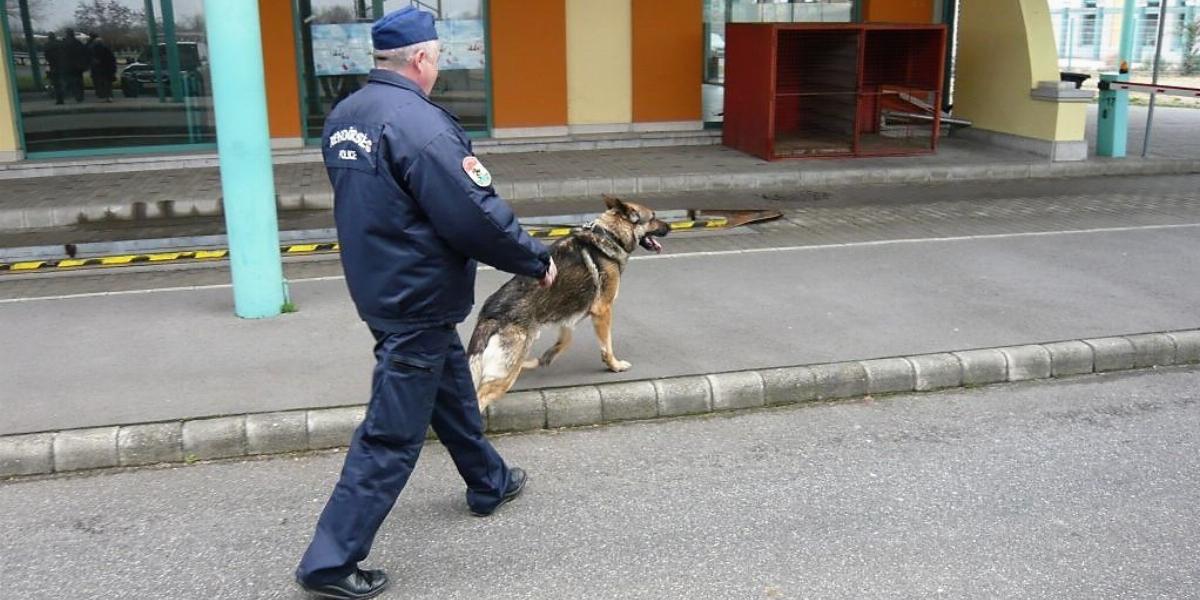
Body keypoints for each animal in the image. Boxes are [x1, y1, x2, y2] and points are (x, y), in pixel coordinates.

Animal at [468, 194, 672, 410]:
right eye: (653, 217)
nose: (670, 227)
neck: (610, 234)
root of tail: (489, 316)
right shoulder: (603, 310)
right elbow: (607, 346)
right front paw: (614, 366)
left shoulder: (568, 317)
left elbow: (563, 342)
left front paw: (541, 360)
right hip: (504, 377)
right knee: (480, 397)